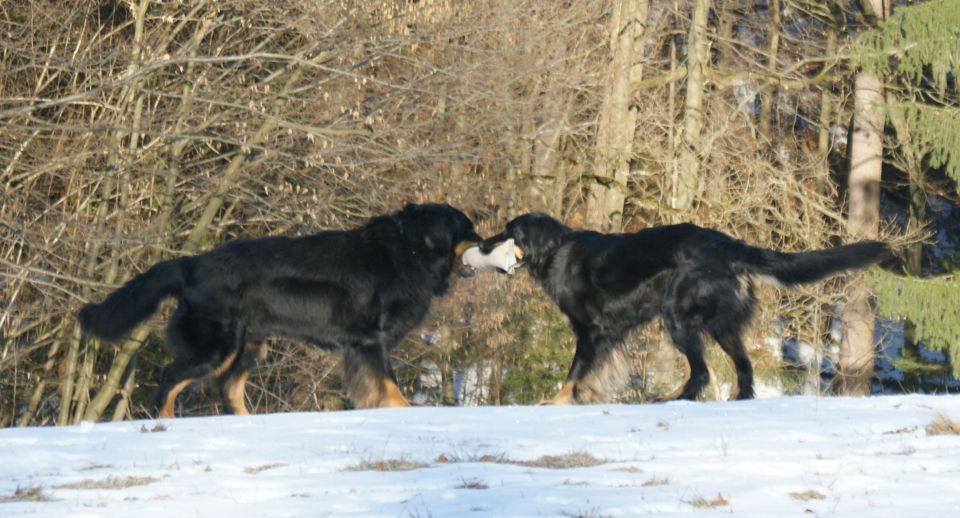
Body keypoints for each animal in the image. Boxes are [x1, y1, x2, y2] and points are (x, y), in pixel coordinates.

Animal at [78, 203, 480, 418]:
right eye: (470, 229)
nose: (488, 242)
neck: (409, 249)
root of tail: (189, 264)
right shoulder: (368, 340)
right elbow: (386, 381)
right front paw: (403, 408)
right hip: (217, 344)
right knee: (170, 378)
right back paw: (164, 420)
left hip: (249, 345)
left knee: (228, 388)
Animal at [484, 214, 888, 406]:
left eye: (507, 232)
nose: (482, 244)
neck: (555, 250)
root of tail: (730, 246)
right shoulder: (610, 333)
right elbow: (598, 371)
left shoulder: (591, 331)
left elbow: (574, 372)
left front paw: (557, 400)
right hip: (722, 325)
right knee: (743, 368)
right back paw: (736, 398)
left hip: (676, 317)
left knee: (702, 372)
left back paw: (672, 397)